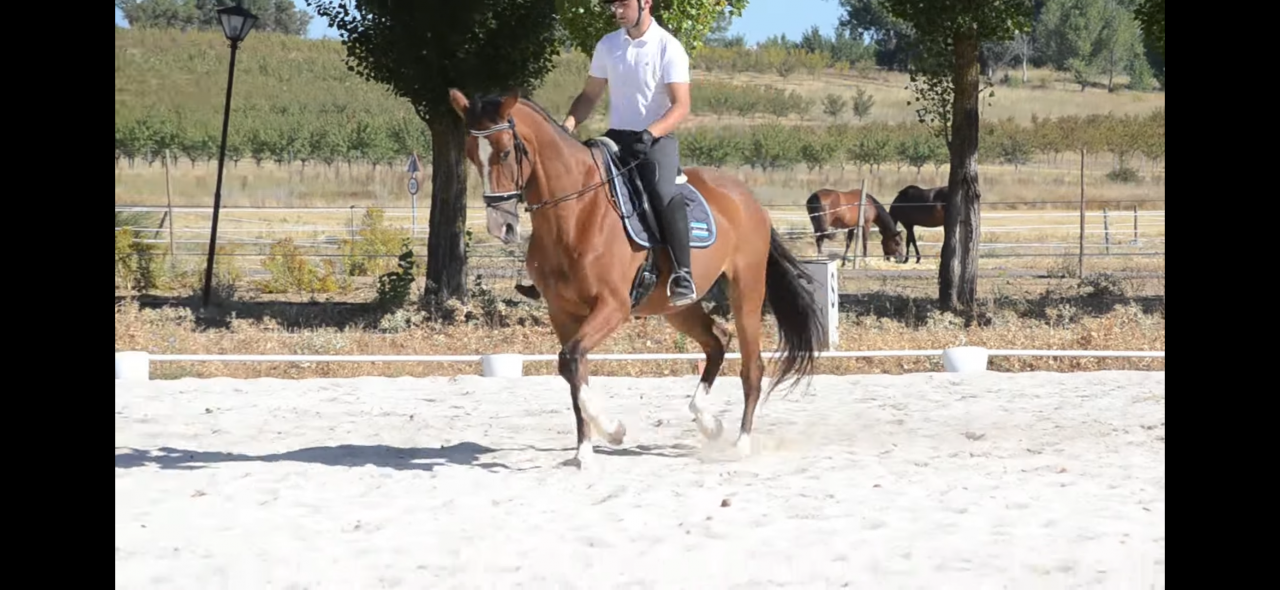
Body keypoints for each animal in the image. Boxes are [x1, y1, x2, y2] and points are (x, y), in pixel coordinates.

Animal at [447, 88, 826, 469]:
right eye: (470, 154)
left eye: (505, 152)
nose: (501, 227)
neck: (576, 212)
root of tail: (749, 199)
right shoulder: (561, 312)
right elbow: (574, 370)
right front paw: (583, 452)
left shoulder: (613, 306)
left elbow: (570, 360)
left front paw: (613, 431)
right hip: (676, 308)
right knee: (717, 341)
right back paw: (709, 423)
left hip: (745, 289)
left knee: (752, 367)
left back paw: (741, 443)